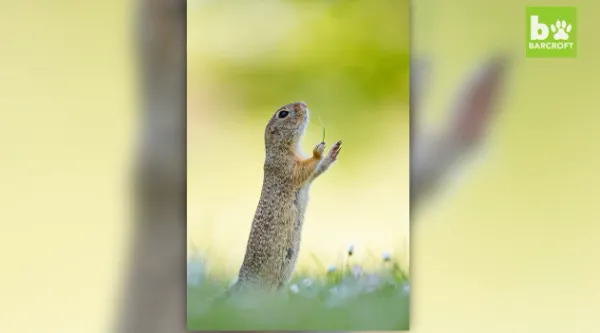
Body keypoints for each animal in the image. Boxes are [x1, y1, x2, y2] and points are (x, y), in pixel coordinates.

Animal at [233, 100, 340, 290]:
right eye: (283, 114)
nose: (304, 104)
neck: (285, 147)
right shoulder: (286, 166)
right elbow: (304, 169)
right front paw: (318, 151)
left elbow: (316, 171)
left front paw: (333, 151)